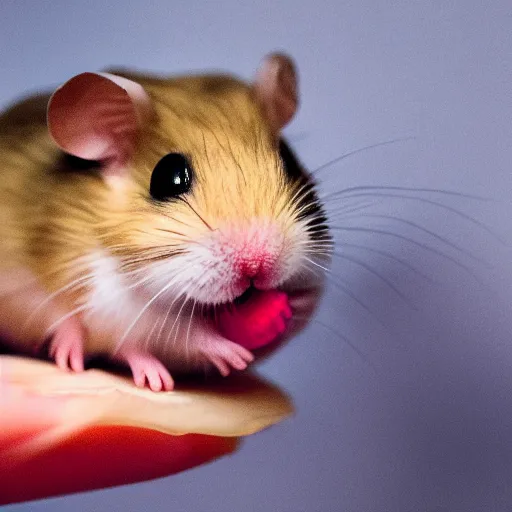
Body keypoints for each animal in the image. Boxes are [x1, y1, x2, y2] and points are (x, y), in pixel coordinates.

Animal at [0, 52, 332, 390]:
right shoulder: (110, 298)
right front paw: (233, 356)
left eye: (288, 160)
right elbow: (181, 333)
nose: (257, 265)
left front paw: (298, 303)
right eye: (167, 178)